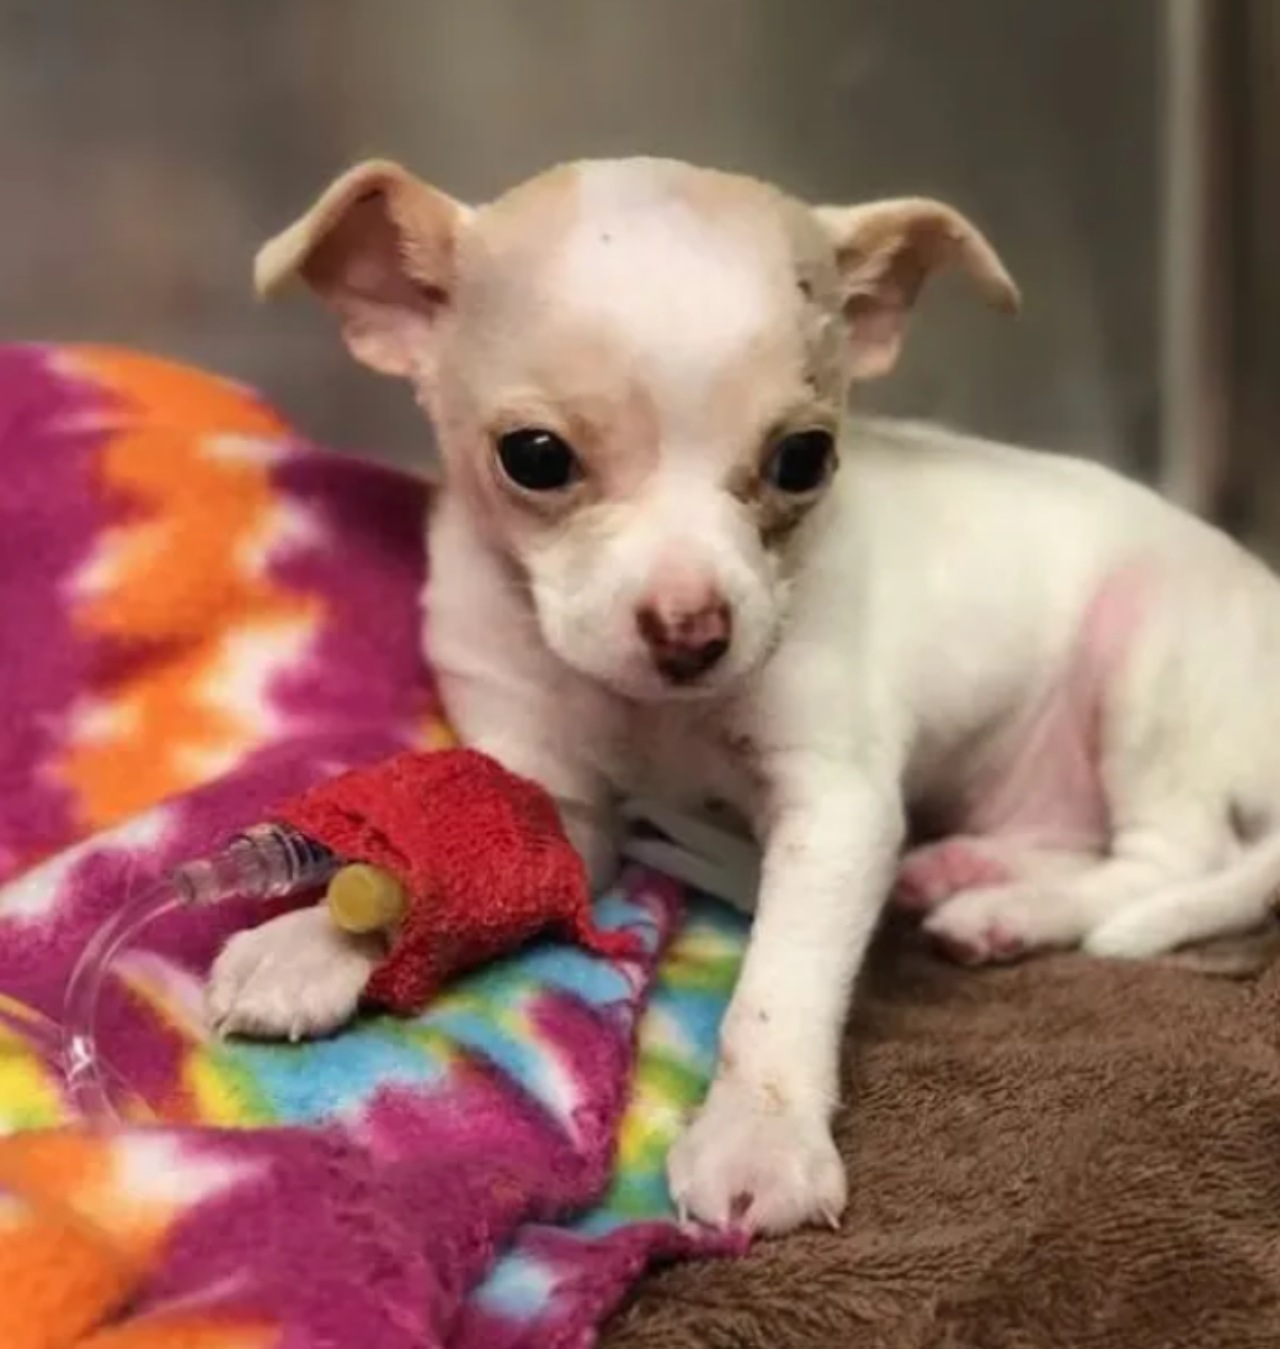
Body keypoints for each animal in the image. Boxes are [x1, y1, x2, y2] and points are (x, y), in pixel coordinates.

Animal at [210, 155, 1280, 1235]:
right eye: (535, 457)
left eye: (803, 458)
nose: (692, 631)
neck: (657, 713)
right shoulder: (555, 799)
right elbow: (433, 857)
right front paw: (316, 939)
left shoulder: (835, 808)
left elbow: (781, 982)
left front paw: (761, 1132)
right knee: (1068, 831)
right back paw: (981, 882)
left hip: (1148, 664)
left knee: (1171, 854)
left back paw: (1018, 908)